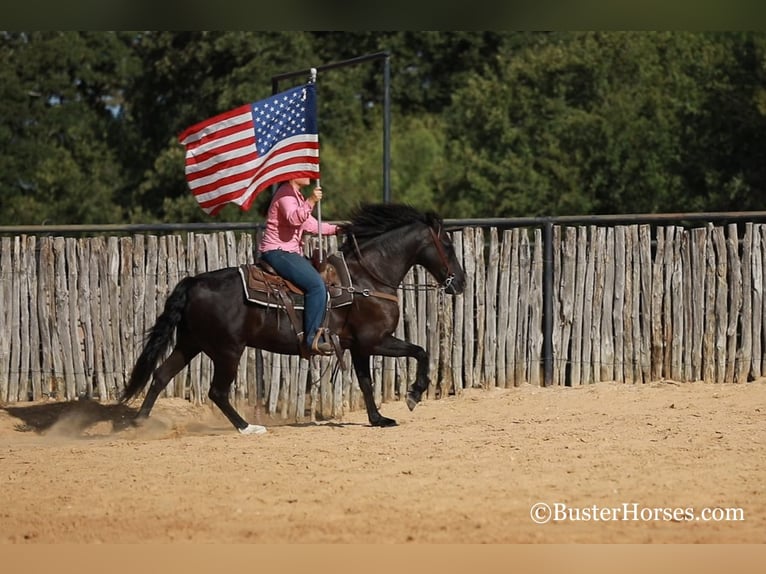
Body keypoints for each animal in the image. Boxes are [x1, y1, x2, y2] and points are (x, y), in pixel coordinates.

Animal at [120, 205, 468, 434]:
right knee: (216, 391)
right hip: (227, 350)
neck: (368, 278)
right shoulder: (376, 341)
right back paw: (247, 427)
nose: (461, 282)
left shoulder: (358, 347)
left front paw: (379, 419)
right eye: (447, 245)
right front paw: (413, 394)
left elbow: (367, 383)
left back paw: (138, 423)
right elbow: (420, 352)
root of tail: (194, 282)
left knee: (161, 375)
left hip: (191, 343)